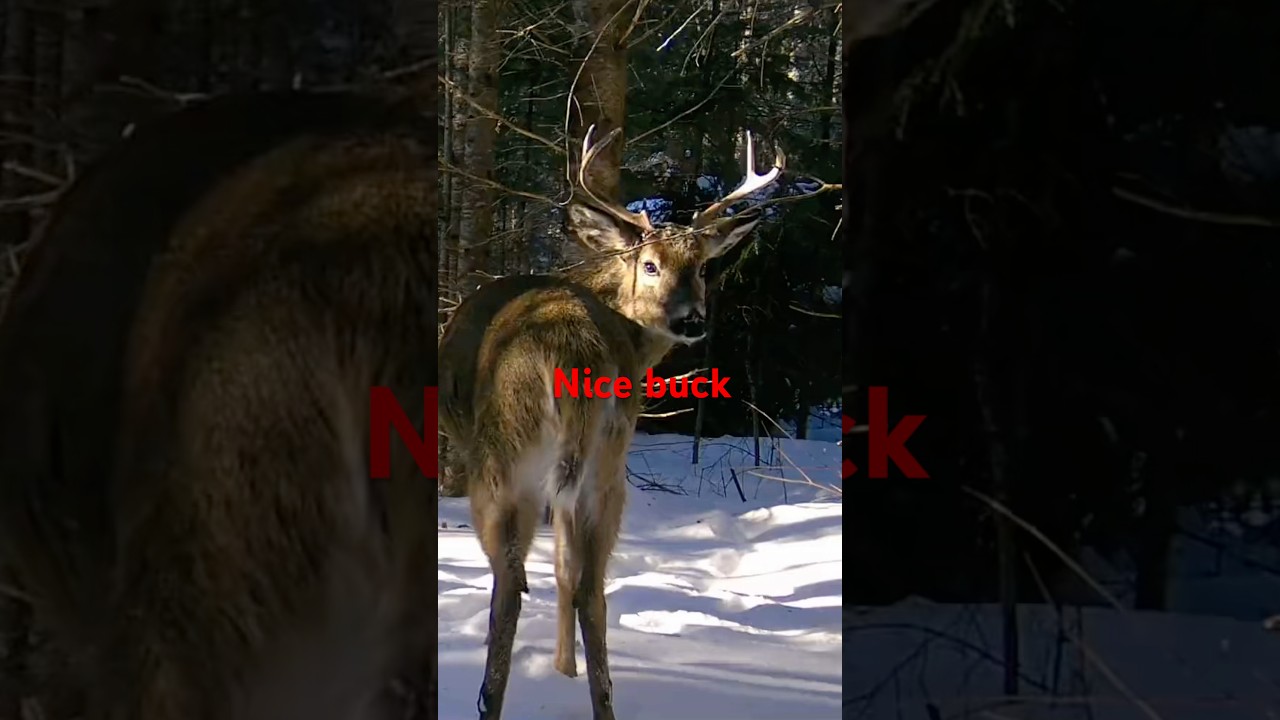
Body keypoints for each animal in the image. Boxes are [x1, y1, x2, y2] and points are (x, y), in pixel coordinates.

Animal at [438, 125, 785, 720]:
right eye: (650, 265)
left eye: (702, 267)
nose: (692, 320)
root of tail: (569, 351)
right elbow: (567, 569)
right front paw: (565, 670)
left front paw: (559, 669)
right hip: (607, 460)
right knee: (590, 586)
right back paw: (602, 701)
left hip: (506, 458)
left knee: (513, 580)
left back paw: (489, 699)